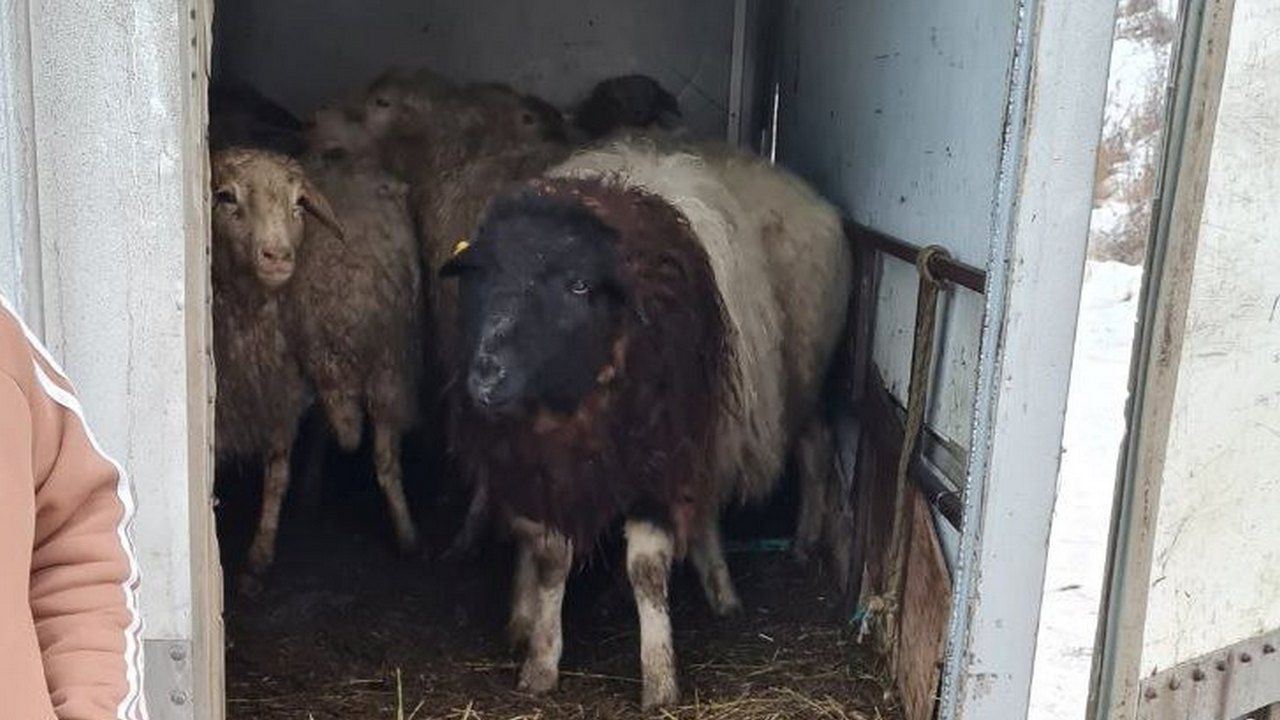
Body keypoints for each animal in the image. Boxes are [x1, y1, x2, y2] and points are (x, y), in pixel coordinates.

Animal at [211, 146, 348, 584]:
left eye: (298, 204)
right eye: (226, 196)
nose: (277, 256)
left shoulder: (280, 397)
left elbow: (277, 475)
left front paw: (259, 557)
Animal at [437, 135, 849, 707]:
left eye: (579, 286)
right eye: (481, 274)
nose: (486, 375)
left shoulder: (661, 456)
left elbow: (648, 570)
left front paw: (659, 678)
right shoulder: (544, 463)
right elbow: (549, 557)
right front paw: (540, 659)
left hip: (790, 388)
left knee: (814, 450)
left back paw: (793, 547)